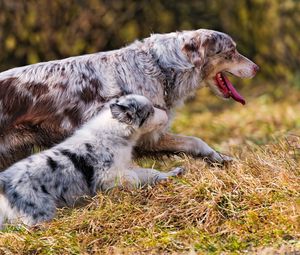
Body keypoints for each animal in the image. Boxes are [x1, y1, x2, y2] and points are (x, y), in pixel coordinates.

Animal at [0, 28, 258, 170]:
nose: (257, 68)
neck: (159, 67)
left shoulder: (152, 136)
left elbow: (195, 143)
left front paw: (221, 159)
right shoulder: (145, 135)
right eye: (232, 51)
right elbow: (196, 141)